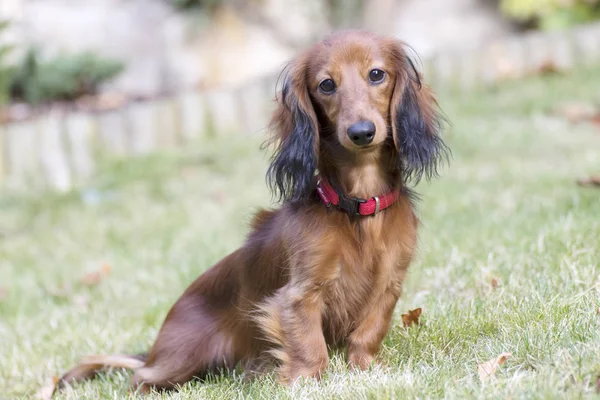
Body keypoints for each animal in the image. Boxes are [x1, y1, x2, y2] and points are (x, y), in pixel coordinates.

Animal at [56, 30, 448, 394]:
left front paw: (366, 369)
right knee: (139, 378)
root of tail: (154, 351)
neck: (359, 211)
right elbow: (310, 346)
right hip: (184, 356)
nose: (361, 132)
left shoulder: (389, 284)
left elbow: (369, 331)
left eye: (376, 74)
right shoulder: (300, 294)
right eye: (326, 84)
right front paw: (303, 382)